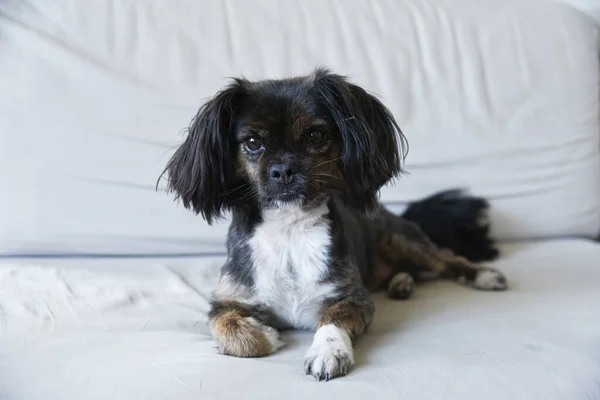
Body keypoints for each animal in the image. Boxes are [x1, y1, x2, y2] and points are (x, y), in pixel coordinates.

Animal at [161, 68, 506, 382]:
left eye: (316, 136)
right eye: (253, 142)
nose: (283, 170)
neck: (290, 231)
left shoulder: (352, 297)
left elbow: (333, 319)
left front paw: (328, 351)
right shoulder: (225, 302)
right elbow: (228, 328)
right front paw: (264, 335)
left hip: (402, 240)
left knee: (447, 258)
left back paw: (483, 276)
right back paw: (401, 283)